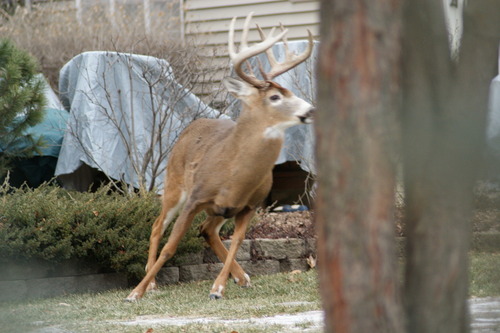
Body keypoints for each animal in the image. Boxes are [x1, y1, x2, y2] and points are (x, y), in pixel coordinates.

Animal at [126, 13, 312, 300]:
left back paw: (241, 277)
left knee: (206, 230)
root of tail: (191, 126)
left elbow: (237, 242)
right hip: (174, 185)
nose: (310, 109)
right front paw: (136, 291)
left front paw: (218, 287)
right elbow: (170, 246)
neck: (235, 175)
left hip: (219, 209)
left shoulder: (249, 206)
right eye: (275, 96)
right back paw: (152, 282)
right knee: (158, 226)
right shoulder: (195, 198)